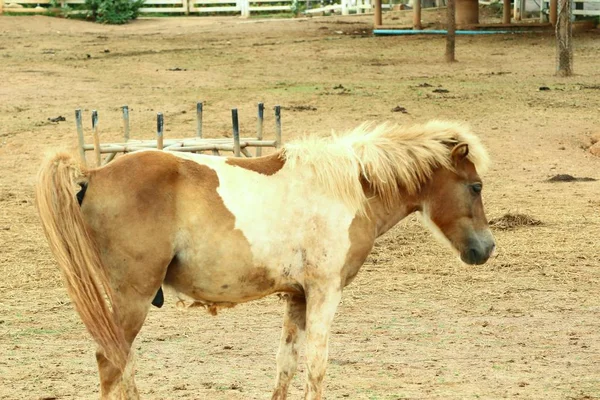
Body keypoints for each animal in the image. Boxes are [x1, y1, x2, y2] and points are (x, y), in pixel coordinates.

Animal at [38, 121, 496, 400]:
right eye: (475, 186)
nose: (487, 248)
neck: (349, 189)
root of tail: (94, 174)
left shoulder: (296, 297)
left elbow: (286, 364)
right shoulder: (324, 293)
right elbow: (317, 364)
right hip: (132, 299)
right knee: (111, 361)